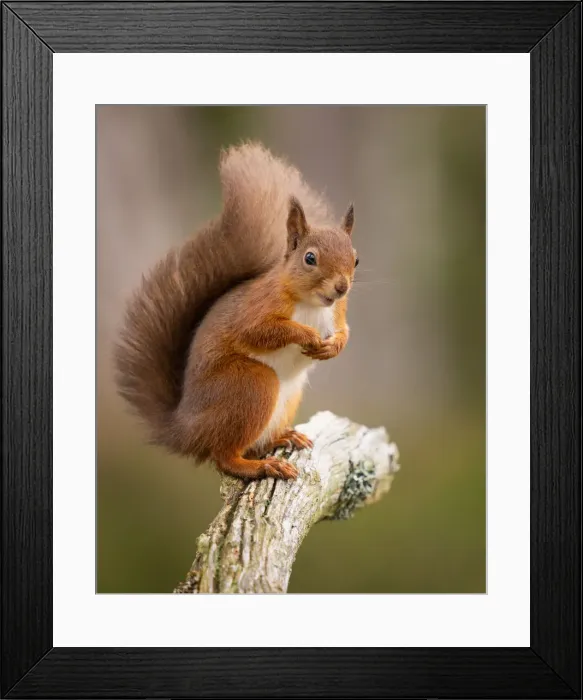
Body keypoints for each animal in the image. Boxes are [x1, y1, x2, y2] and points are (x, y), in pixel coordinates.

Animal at [114, 141, 358, 481]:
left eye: (356, 259)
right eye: (310, 258)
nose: (341, 287)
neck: (312, 303)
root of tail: (186, 430)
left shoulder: (338, 312)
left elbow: (344, 331)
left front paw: (334, 346)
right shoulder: (259, 307)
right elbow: (261, 331)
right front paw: (306, 334)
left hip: (285, 397)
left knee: (249, 445)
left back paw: (282, 438)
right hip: (251, 385)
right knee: (224, 457)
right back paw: (261, 465)